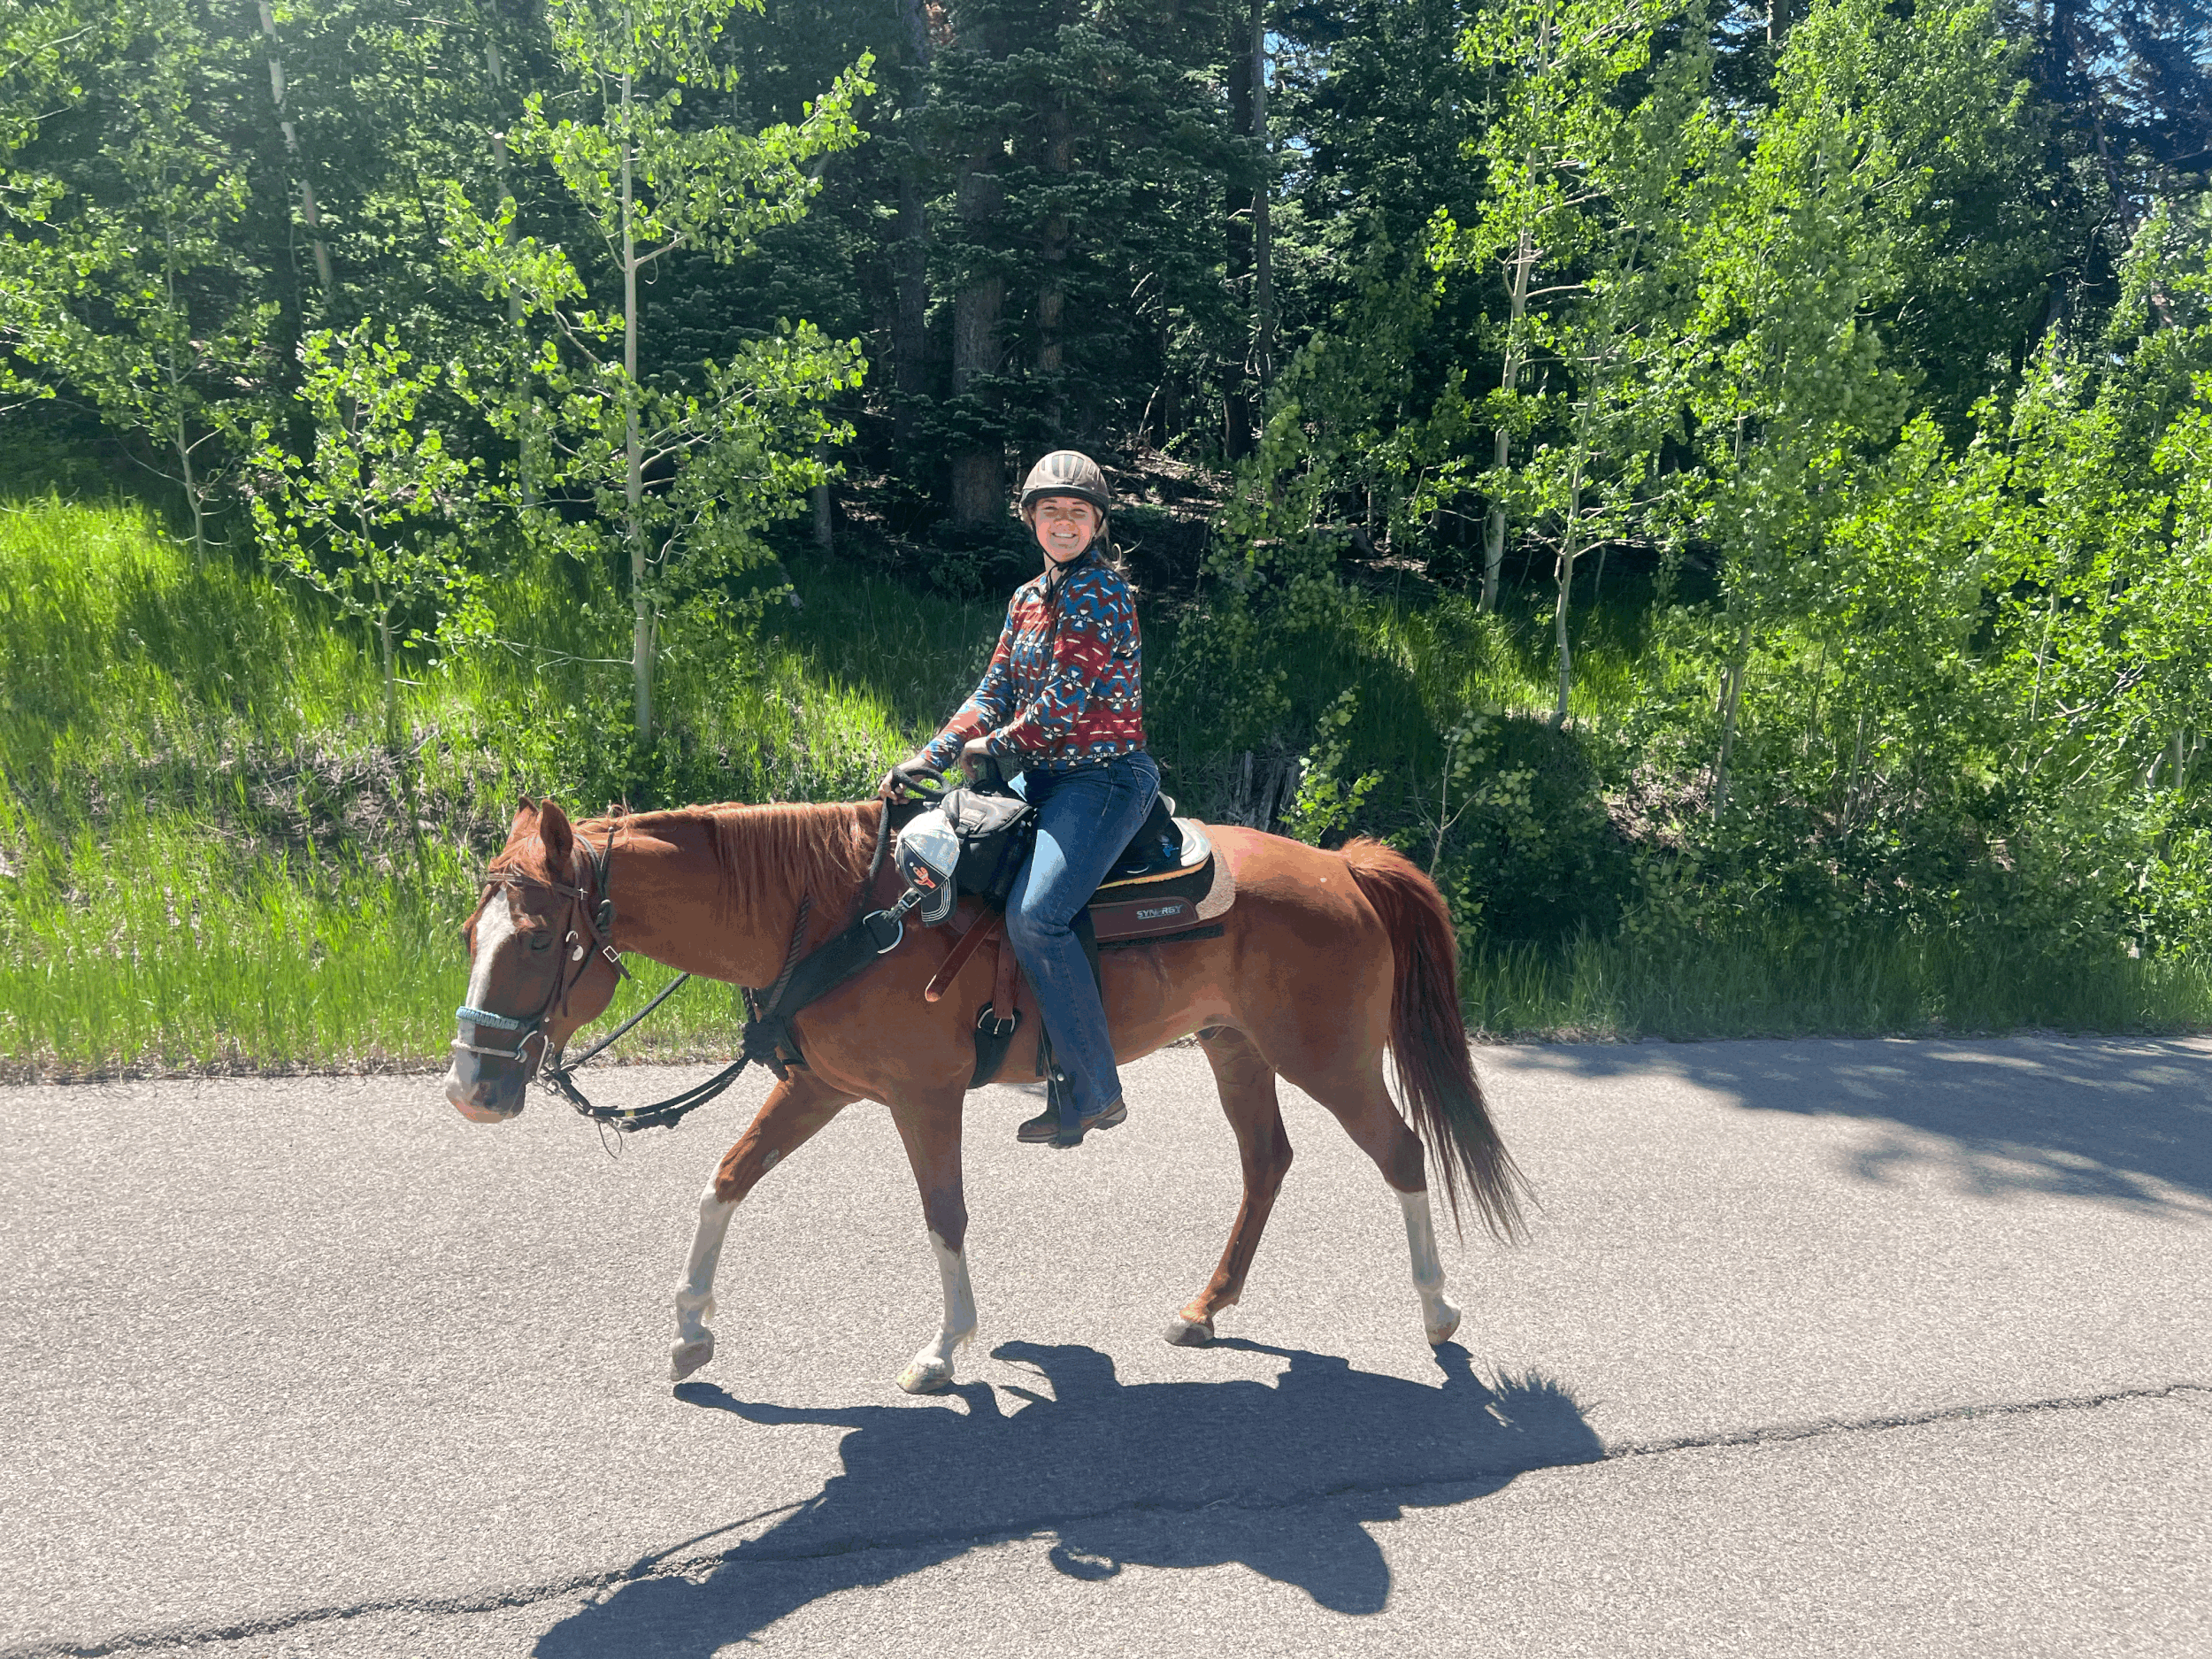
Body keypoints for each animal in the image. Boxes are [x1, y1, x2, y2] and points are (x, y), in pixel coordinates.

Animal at [444, 795, 1528, 1395]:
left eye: (536, 940)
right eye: (467, 934)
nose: (469, 1088)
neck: (834, 915)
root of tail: (1343, 866)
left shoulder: (924, 1098)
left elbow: (944, 1215)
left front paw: (942, 1350)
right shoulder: (820, 1087)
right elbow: (726, 1180)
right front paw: (689, 1332)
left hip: (1328, 1055)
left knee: (1400, 1152)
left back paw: (1438, 1312)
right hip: (1235, 1047)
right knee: (1267, 1162)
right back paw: (1204, 1308)